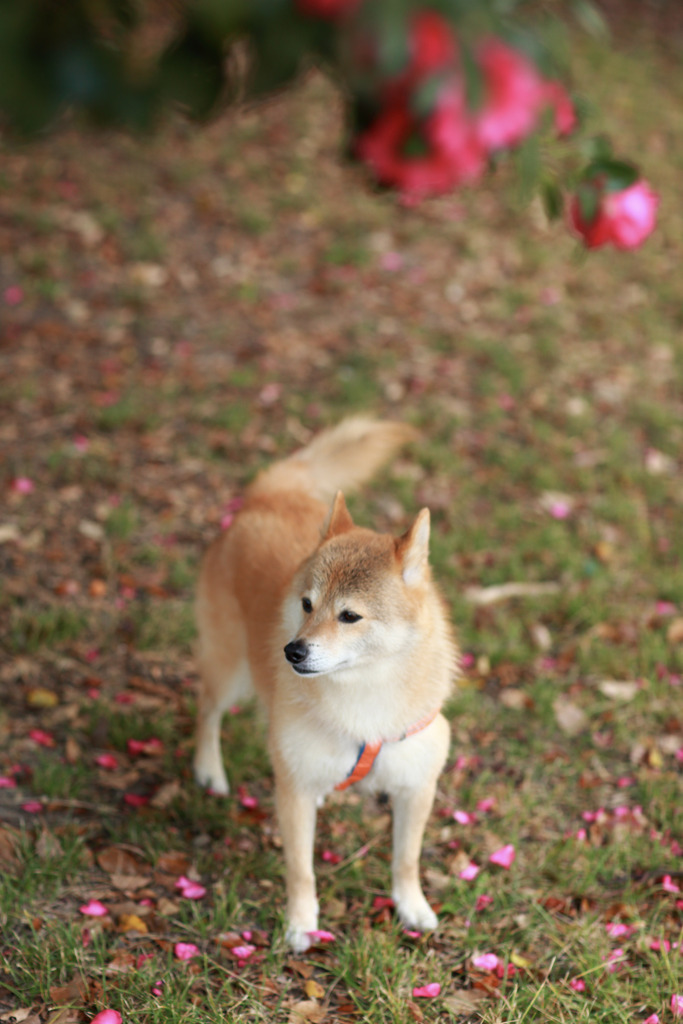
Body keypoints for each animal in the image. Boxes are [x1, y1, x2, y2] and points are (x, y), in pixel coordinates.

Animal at [193, 417, 458, 950]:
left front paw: (411, 906)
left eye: (349, 616)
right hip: (230, 671)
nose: (292, 652)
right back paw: (209, 769)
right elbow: (302, 870)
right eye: (307, 604)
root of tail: (268, 498)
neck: (365, 699)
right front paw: (301, 924)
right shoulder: (292, 789)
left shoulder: (415, 785)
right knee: (207, 709)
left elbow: (407, 859)